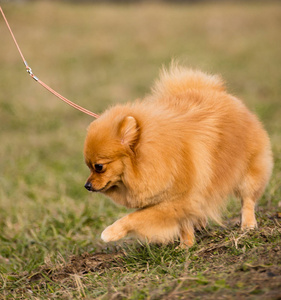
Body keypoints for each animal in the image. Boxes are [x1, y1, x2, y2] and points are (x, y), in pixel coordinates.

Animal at [83, 65, 272, 248]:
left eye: (98, 167)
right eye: (88, 166)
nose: (87, 185)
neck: (158, 155)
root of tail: (219, 92)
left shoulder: (179, 200)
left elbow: (136, 217)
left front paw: (110, 232)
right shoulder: (177, 200)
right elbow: (183, 224)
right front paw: (186, 246)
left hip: (249, 172)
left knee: (247, 199)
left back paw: (248, 225)